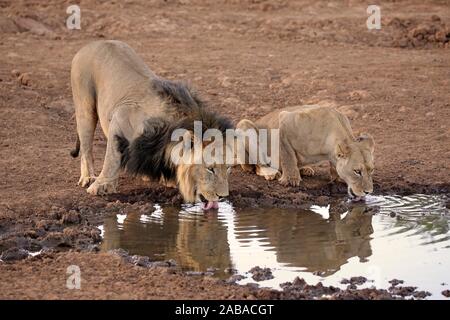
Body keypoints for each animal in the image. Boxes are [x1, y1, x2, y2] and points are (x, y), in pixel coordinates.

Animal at [71, 40, 234, 210]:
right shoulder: (120, 117)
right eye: (210, 169)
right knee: (86, 148)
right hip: (85, 108)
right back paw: (88, 177)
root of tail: (93, 43)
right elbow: (112, 159)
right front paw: (101, 186)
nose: (222, 196)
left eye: (228, 168)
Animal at [237, 105, 374, 200]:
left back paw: (304, 169)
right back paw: (272, 173)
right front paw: (290, 180)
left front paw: (338, 177)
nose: (368, 192)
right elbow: (288, 156)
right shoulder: (285, 121)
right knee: (256, 167)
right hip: (244, 125)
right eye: (357, 171)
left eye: (371, 170)